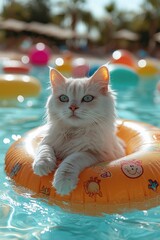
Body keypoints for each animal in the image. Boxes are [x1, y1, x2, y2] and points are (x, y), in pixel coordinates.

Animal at [32, 65, 125, 195]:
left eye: (87, 98)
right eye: (63, 98)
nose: (73, 107)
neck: (75, 132)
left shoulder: (97, 153)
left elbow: (73, 159)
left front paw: (63, 182)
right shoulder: (47, 141)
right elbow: (45, 149)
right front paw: (42, 165)